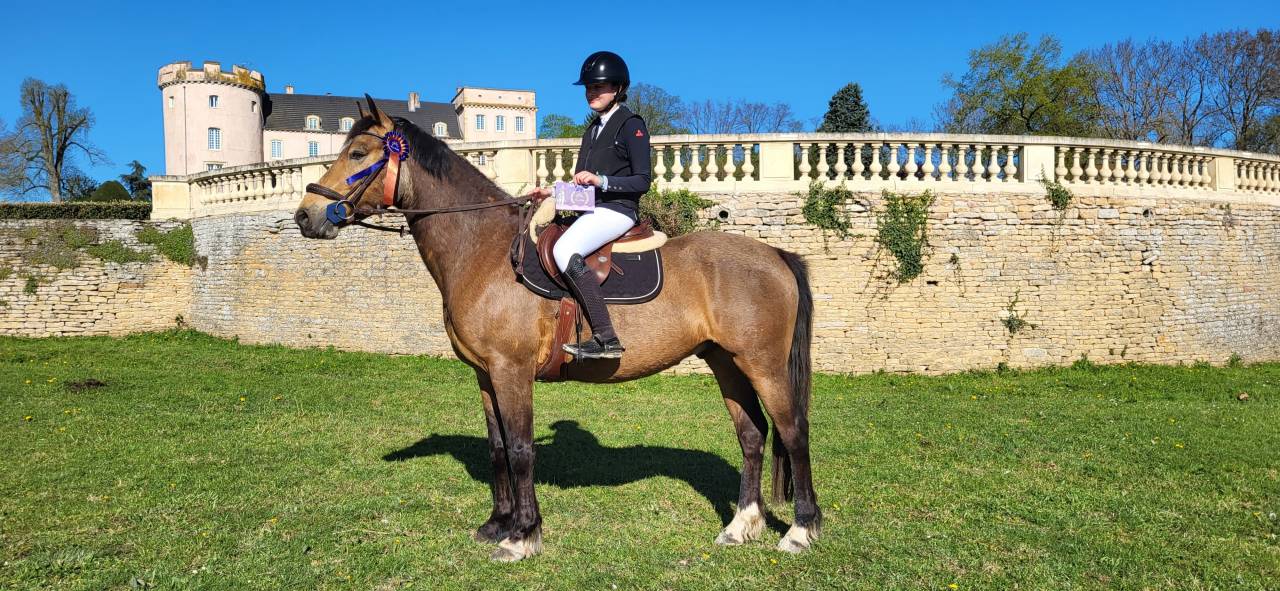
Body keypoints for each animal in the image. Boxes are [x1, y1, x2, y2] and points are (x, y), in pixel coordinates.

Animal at [293, 96, 820, 562]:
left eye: (358, 154)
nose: (305, 215)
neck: (483, 248)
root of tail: (776, 255)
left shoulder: (512, 371)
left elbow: (521, 448)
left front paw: (523, 536)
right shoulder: (486, 374)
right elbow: (498, 448)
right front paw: (497, 524)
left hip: (764, 366)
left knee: (793, 432)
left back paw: (800, 530)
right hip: (726, 362)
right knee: (751, 434)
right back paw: (741, 525)